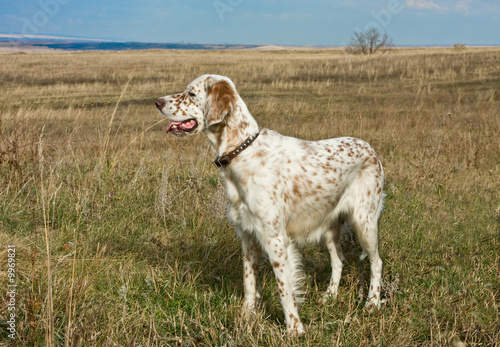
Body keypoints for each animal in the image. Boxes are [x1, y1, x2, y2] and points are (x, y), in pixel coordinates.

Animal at [154, 75, 384, 336]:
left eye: (191, 93)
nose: (157, 102)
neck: (242, 152)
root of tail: (370, 149)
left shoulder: (275, 239)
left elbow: (285, 289)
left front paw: (294, 328)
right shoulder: (247, 235)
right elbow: (249, 282)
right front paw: (247, 316)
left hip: (364, 222)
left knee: (376, 262)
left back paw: (372, 303)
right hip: (330, 227)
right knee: (338, 260)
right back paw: (330, 296)